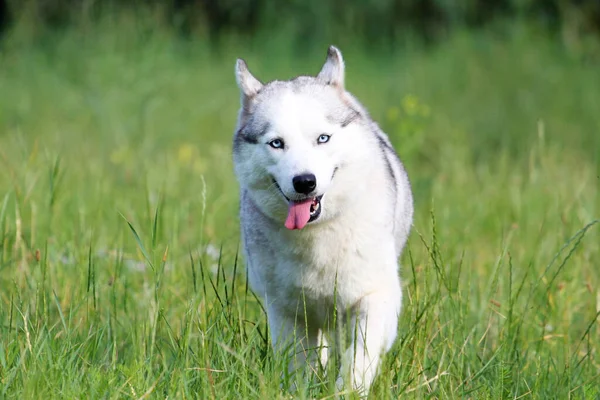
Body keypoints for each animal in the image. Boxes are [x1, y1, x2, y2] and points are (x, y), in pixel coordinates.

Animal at [233, 45, 412, 392]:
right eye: (277, 143)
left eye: (323, 138)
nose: (305, 182)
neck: (316, 236)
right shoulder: (288, 312)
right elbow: (299, 367)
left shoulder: (373, 297)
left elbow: (358, 360)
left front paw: (347, 392)